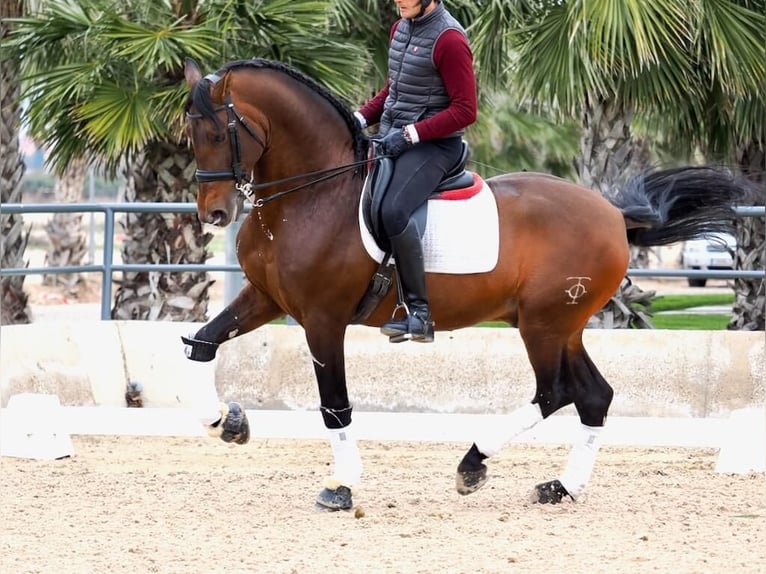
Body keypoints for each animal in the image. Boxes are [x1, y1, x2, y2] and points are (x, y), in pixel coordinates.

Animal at [184, 57, 756, 508]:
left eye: (216, 133)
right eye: (189, 136)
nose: (215, 214)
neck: (310, 195)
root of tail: (613, 213)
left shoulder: (323, 319)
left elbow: (334, 405)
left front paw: (342, 487)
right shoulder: (267, 298)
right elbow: (202, 345)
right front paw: (227, 422)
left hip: (544, 324)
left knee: (555, 391)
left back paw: (474, 463)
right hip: (564, 325)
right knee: (593, 395)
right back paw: (561, 487)